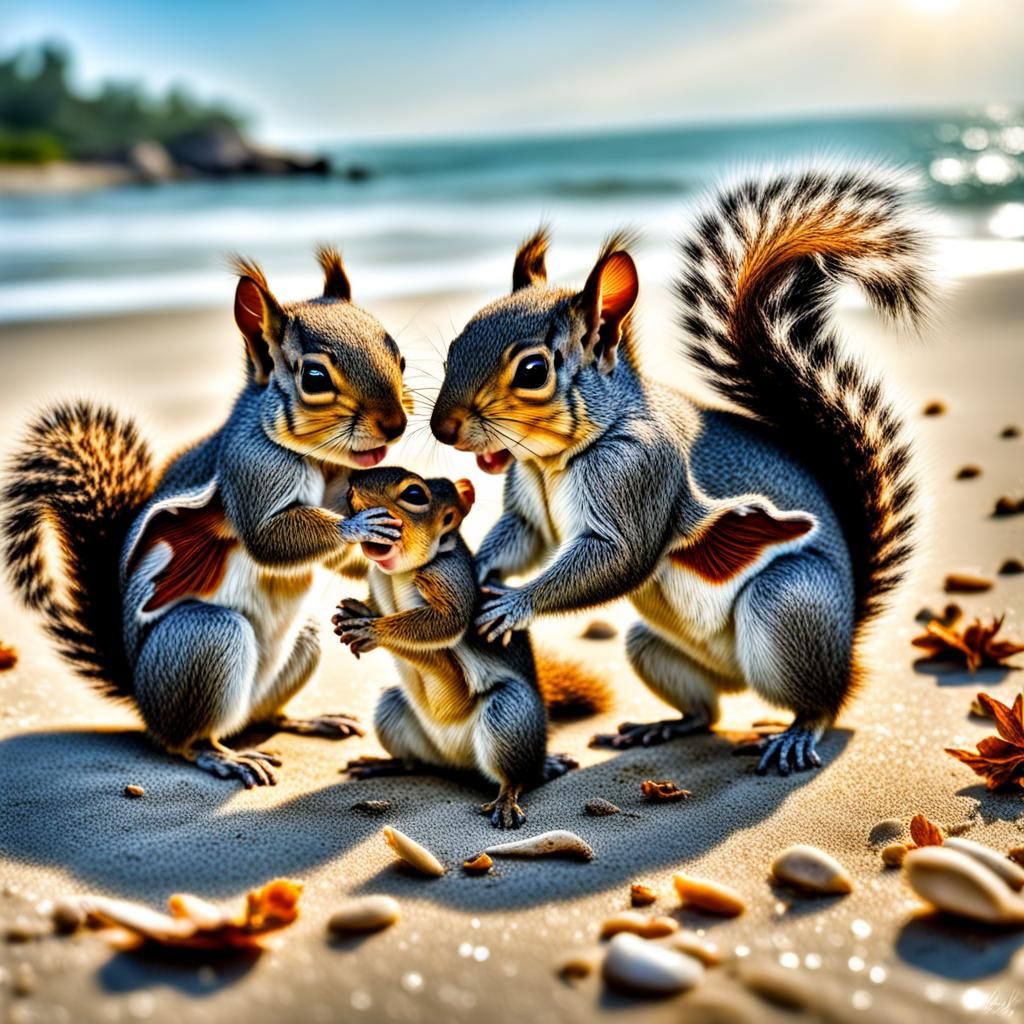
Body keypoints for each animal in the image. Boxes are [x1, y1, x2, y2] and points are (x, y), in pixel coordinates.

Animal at [1, 248, 411, 787]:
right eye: (315, 379)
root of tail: (142, 700)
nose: (396, 425)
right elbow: (269, 538)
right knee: (186, 739)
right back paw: (226, 756)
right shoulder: (248, 470)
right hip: (204, 641)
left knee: (265, 715)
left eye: (400, 356)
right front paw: (358, 528)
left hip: (301, 642)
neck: (322, 463)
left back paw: (311, 720)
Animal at [332, 466, 610, 827]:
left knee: (517, 775)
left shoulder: (451, 578)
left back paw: (507, 799)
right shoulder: (377, 580)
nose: (351, 486)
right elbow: (375, 605)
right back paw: (383, 764)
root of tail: (460, 761)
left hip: (509, 714)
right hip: (392, 709)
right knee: (416, 761)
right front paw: (352, 613)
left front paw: (369, 630)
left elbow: (447, 622)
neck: (397, 575)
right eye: (352, 491)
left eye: (414, 495)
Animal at [428, 167, 931, 775]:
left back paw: (796, 732)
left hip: (785, 608)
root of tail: (849, 634)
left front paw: (514, 603)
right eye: (456, 344)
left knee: (822, 700)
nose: (442, 428)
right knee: (705, 711)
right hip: (649, 647)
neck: (553, 460)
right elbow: (520, 536)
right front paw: (479, 570)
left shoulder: (641, 476)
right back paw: (661, 725)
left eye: (532, 370)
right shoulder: (529, 502)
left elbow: (619, 556)